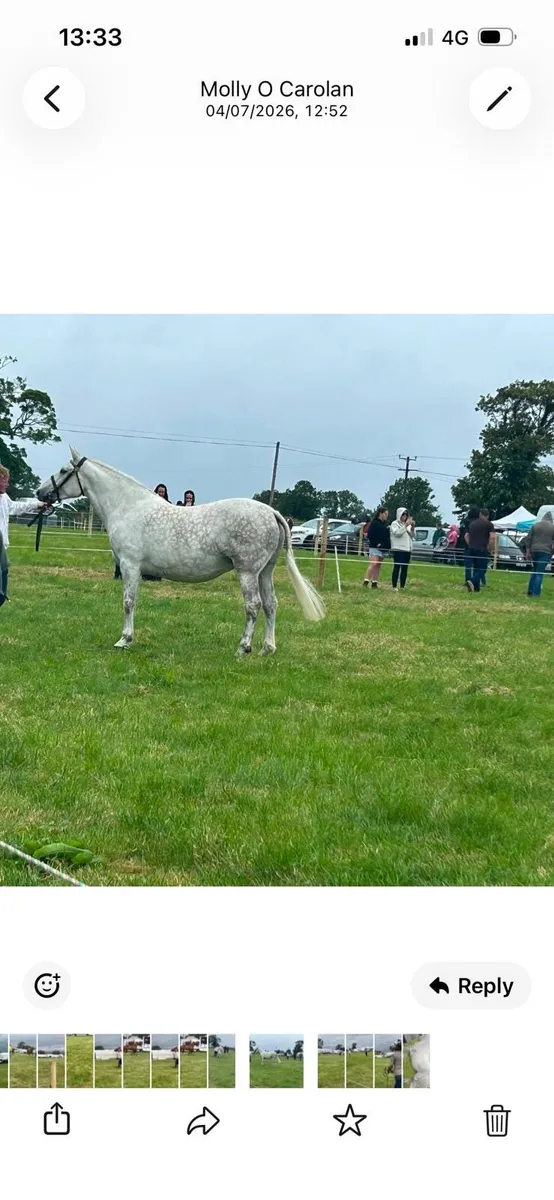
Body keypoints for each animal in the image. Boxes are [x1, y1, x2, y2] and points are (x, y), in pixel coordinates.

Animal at [37, 450, 325, 655]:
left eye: (63, 470)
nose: (41, 492)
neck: (128, 506)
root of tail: (270, 511)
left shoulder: (130, 566)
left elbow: (129, 602)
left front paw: (124, 640)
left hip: (247, 571)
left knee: (253, 606)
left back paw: (244, 648)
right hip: (265, 572)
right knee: (270, 605)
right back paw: (267, 648)